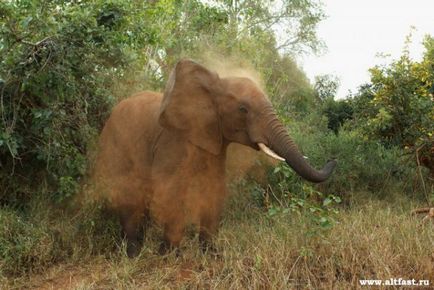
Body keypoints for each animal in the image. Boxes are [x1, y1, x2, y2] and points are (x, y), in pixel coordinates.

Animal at [95, 58, 336, 256]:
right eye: (242, 109)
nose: (332, 159)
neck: (213, 87)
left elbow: (214, 188)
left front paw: (211, 255)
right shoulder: (172, 142)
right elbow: (171, 190)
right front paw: (170, 256)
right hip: (114, 146)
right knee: (127, 192)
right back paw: (133, 254)